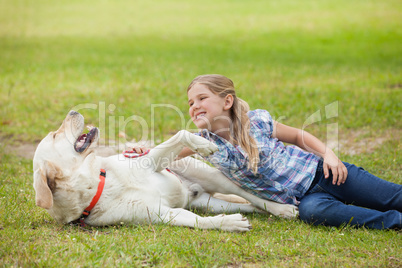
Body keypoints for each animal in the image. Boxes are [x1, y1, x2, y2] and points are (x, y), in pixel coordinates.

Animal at [33, 110, 296, 231]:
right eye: (54, 135)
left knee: (249, 195)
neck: (100, 182)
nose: (73, 111)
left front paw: (203, 143)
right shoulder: (162, 214)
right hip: (209, 203)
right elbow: (199, 221)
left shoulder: (151, 161)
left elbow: (181, 134)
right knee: (247, 205)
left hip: (212, 176)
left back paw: (281, 208)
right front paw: (229, 224)